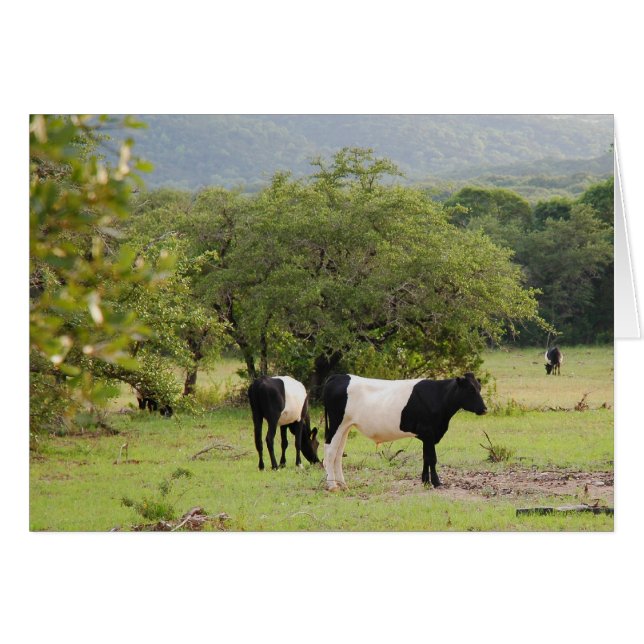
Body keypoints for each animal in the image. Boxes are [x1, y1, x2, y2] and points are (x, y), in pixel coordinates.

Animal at [322, 372, 487, 491]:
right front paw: (436, 482)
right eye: (471, 389)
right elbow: (432, 458)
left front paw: (425, 481)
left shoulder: (426, 435)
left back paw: (343, 485)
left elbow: (426, 457)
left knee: (338, 453)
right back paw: (333, 486)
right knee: (330, 451)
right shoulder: (428, 432)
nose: (485, 409)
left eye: (479, 388)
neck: (439, 397)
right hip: (337, 423)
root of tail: (339, 376)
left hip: (346, 426)